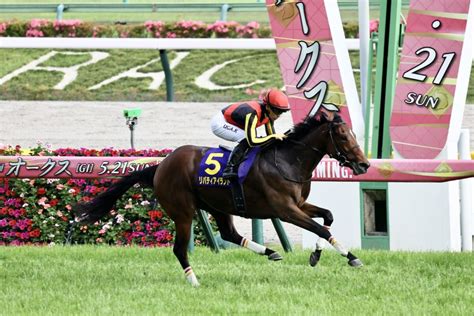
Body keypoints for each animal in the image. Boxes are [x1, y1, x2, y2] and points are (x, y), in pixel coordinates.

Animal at [74, 111, 370, 286]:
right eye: (343, 136)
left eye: (354, 134)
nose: (364, 164)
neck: (287, 161)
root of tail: (160, 166)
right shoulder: (285, 210)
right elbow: (321, 227)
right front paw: (351, 257)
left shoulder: (298, 205)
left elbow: (327, 217)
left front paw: (317, 254)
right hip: (183, 212)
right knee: (180, 249)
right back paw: (194, 281)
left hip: (217, 205)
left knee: (229, 233)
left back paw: (270, 252)